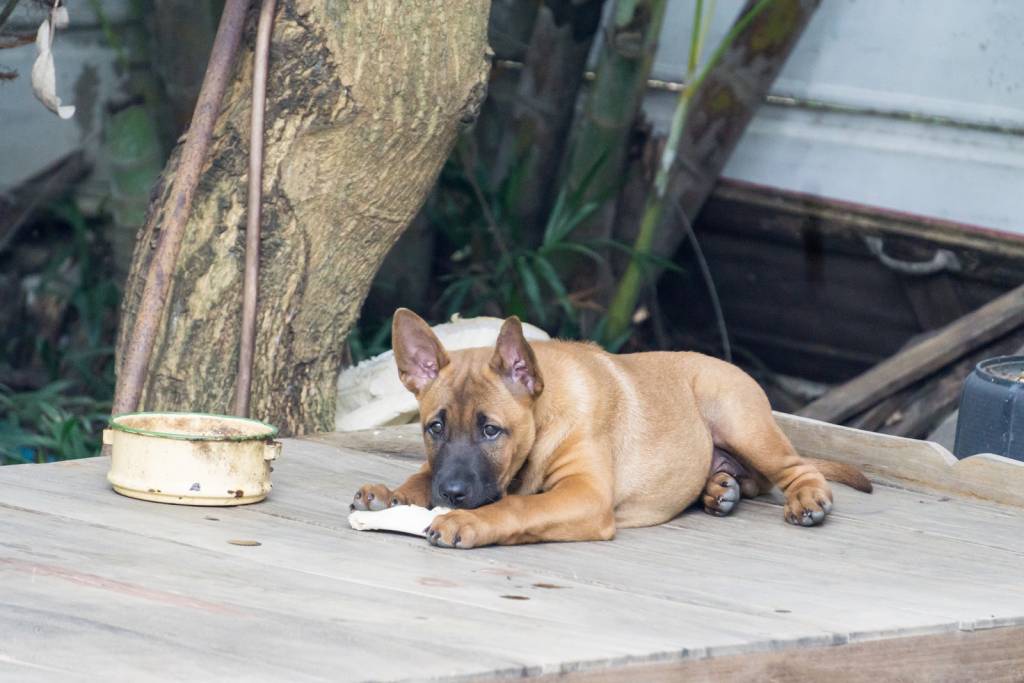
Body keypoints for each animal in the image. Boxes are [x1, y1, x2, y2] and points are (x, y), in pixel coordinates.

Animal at [350, 309, 871, 548]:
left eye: (492, 431)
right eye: (434, 427)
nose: (453, 494)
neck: (546, 416)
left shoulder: (585, 493)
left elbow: (517, 507)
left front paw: (467, 521)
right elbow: (422, 472)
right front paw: (391, 494)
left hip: (737, 418)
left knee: (795, 468)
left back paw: (806, 499)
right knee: (752, 478)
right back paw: (718, 488)